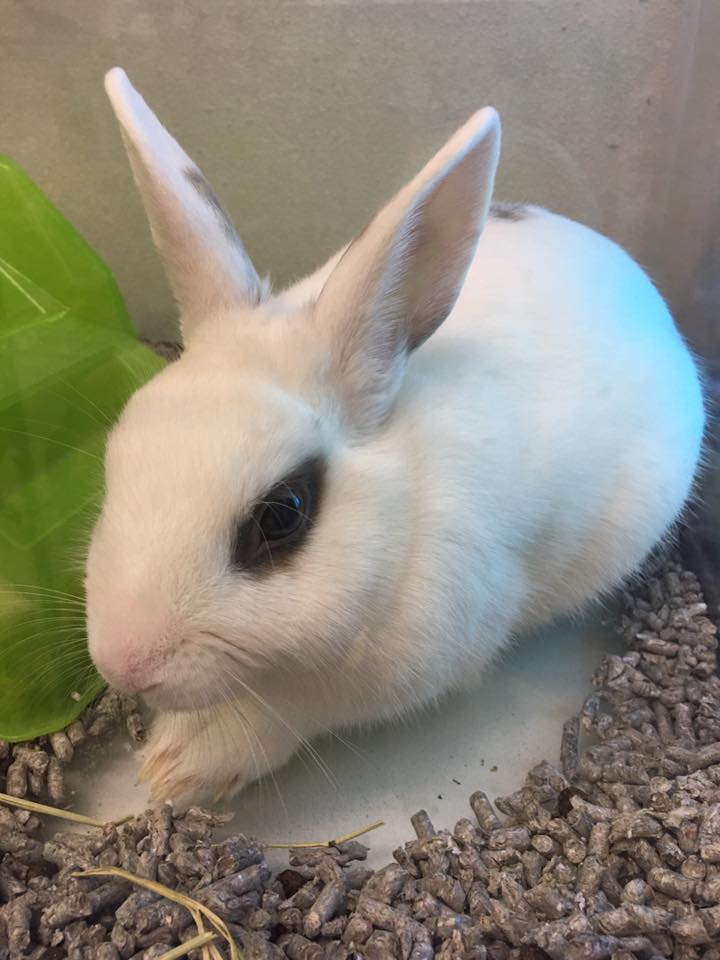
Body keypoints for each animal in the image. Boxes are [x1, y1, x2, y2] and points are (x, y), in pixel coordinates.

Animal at [85, 67, 705, 805]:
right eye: (117, 454)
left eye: (282, 515)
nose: (123, 664)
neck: (403, 514)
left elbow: (282, 714)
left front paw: (177, 766)